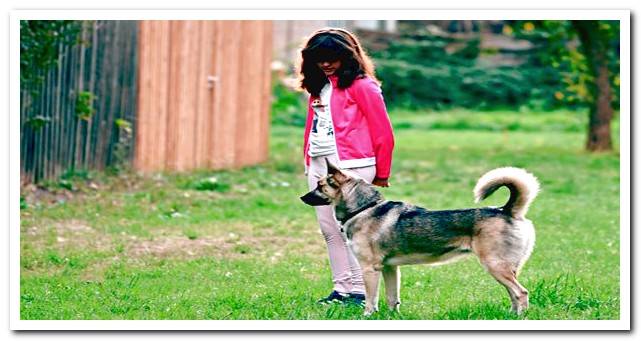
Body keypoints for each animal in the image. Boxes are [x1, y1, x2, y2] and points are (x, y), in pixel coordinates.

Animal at [298, 161, 536, 314]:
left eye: (320, 186)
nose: (301, 197)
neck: (364, 208)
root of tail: (507, 211)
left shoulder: (369, 269)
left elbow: (371, 300)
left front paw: (368, 316)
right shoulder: (390, 268)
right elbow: (392, 298)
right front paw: (392, 317)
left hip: (495, 266)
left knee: (521, 293)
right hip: (505, 269)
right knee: (514, 294)